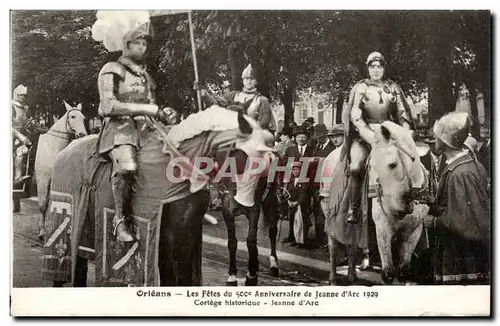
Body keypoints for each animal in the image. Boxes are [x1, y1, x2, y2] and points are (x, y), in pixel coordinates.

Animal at [35, 102, 87, 242]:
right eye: (73, 116)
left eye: (83, 118)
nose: (82, 134)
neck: (52, 147)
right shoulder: (43, 180)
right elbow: (43, 205)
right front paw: (42, 232)